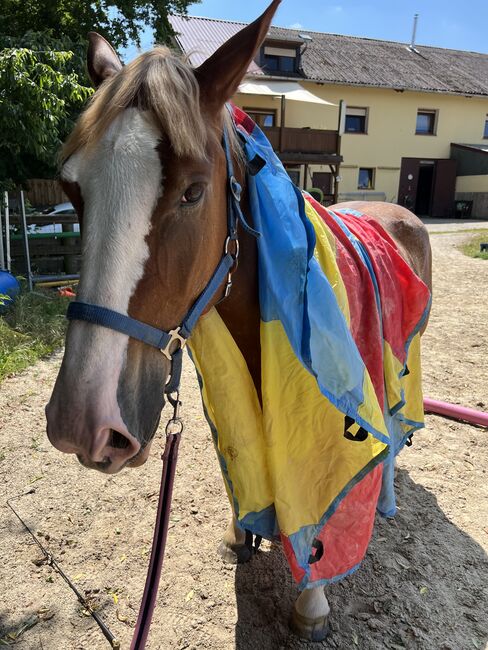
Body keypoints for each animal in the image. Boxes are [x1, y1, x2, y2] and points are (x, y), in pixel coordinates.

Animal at [47, 0, 432, 636]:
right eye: (73, 190)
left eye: (193, 191)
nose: (82, 423)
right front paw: (242, 535)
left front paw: (312, 598)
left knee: (396, 424)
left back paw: (385, 495)